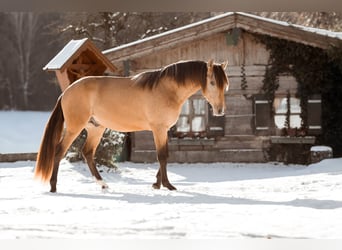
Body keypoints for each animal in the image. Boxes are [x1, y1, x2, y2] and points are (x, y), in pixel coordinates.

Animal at [34, 59, 230, 192]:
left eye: (225, 85)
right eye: (212, 82)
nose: (220, 110)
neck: (167, 89)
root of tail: (67, 92)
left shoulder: (164, 130)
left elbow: (165, 155)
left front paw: (156, 184)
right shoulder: (158, 129)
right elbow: (162, 156)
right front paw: (167, 185)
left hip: (96, 128)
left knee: (87, 153)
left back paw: (102, 184)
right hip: (74, 128)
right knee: (59, 152)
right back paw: (53, 187)